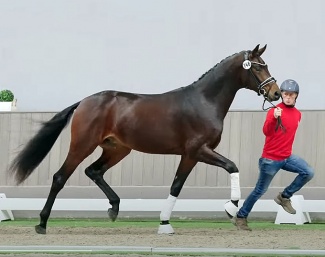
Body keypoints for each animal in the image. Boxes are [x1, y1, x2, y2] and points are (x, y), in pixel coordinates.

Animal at [8, 44, 280, 234]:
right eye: (258, 66)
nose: (276, 93)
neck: (204, 101)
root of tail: (85, 101)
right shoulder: (197, 151)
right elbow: (231, 167)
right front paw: (230, 208)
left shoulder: (190, 155)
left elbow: (176, 186)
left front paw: (165, 223)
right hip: (82, 145)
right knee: (60, 177)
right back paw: (42, 223)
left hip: (118, 150)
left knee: (94, 171)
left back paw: (114, 208)